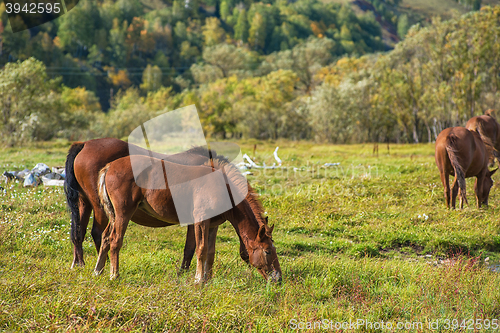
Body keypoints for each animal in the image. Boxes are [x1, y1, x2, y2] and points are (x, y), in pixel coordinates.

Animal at [64, 137, 248, 270]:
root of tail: (84, 144)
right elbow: (190, 248)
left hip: (84, 203)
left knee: (79, 232)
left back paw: (79, 263)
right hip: (100, 207)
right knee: (97, 233)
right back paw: (106, 264)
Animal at [94, 154, 282, 282]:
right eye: (267, 251)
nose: (279, 279)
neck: (222, 187)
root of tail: (110, 166)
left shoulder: (213, 225)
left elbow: (210, 252)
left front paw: (208, 279)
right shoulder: (201, 221)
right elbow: (201, 249)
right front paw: (199, 279)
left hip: (114, 216)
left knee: (105, 238)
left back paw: (98, 271)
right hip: (123, 214)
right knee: (115, 240)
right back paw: (114, 275)